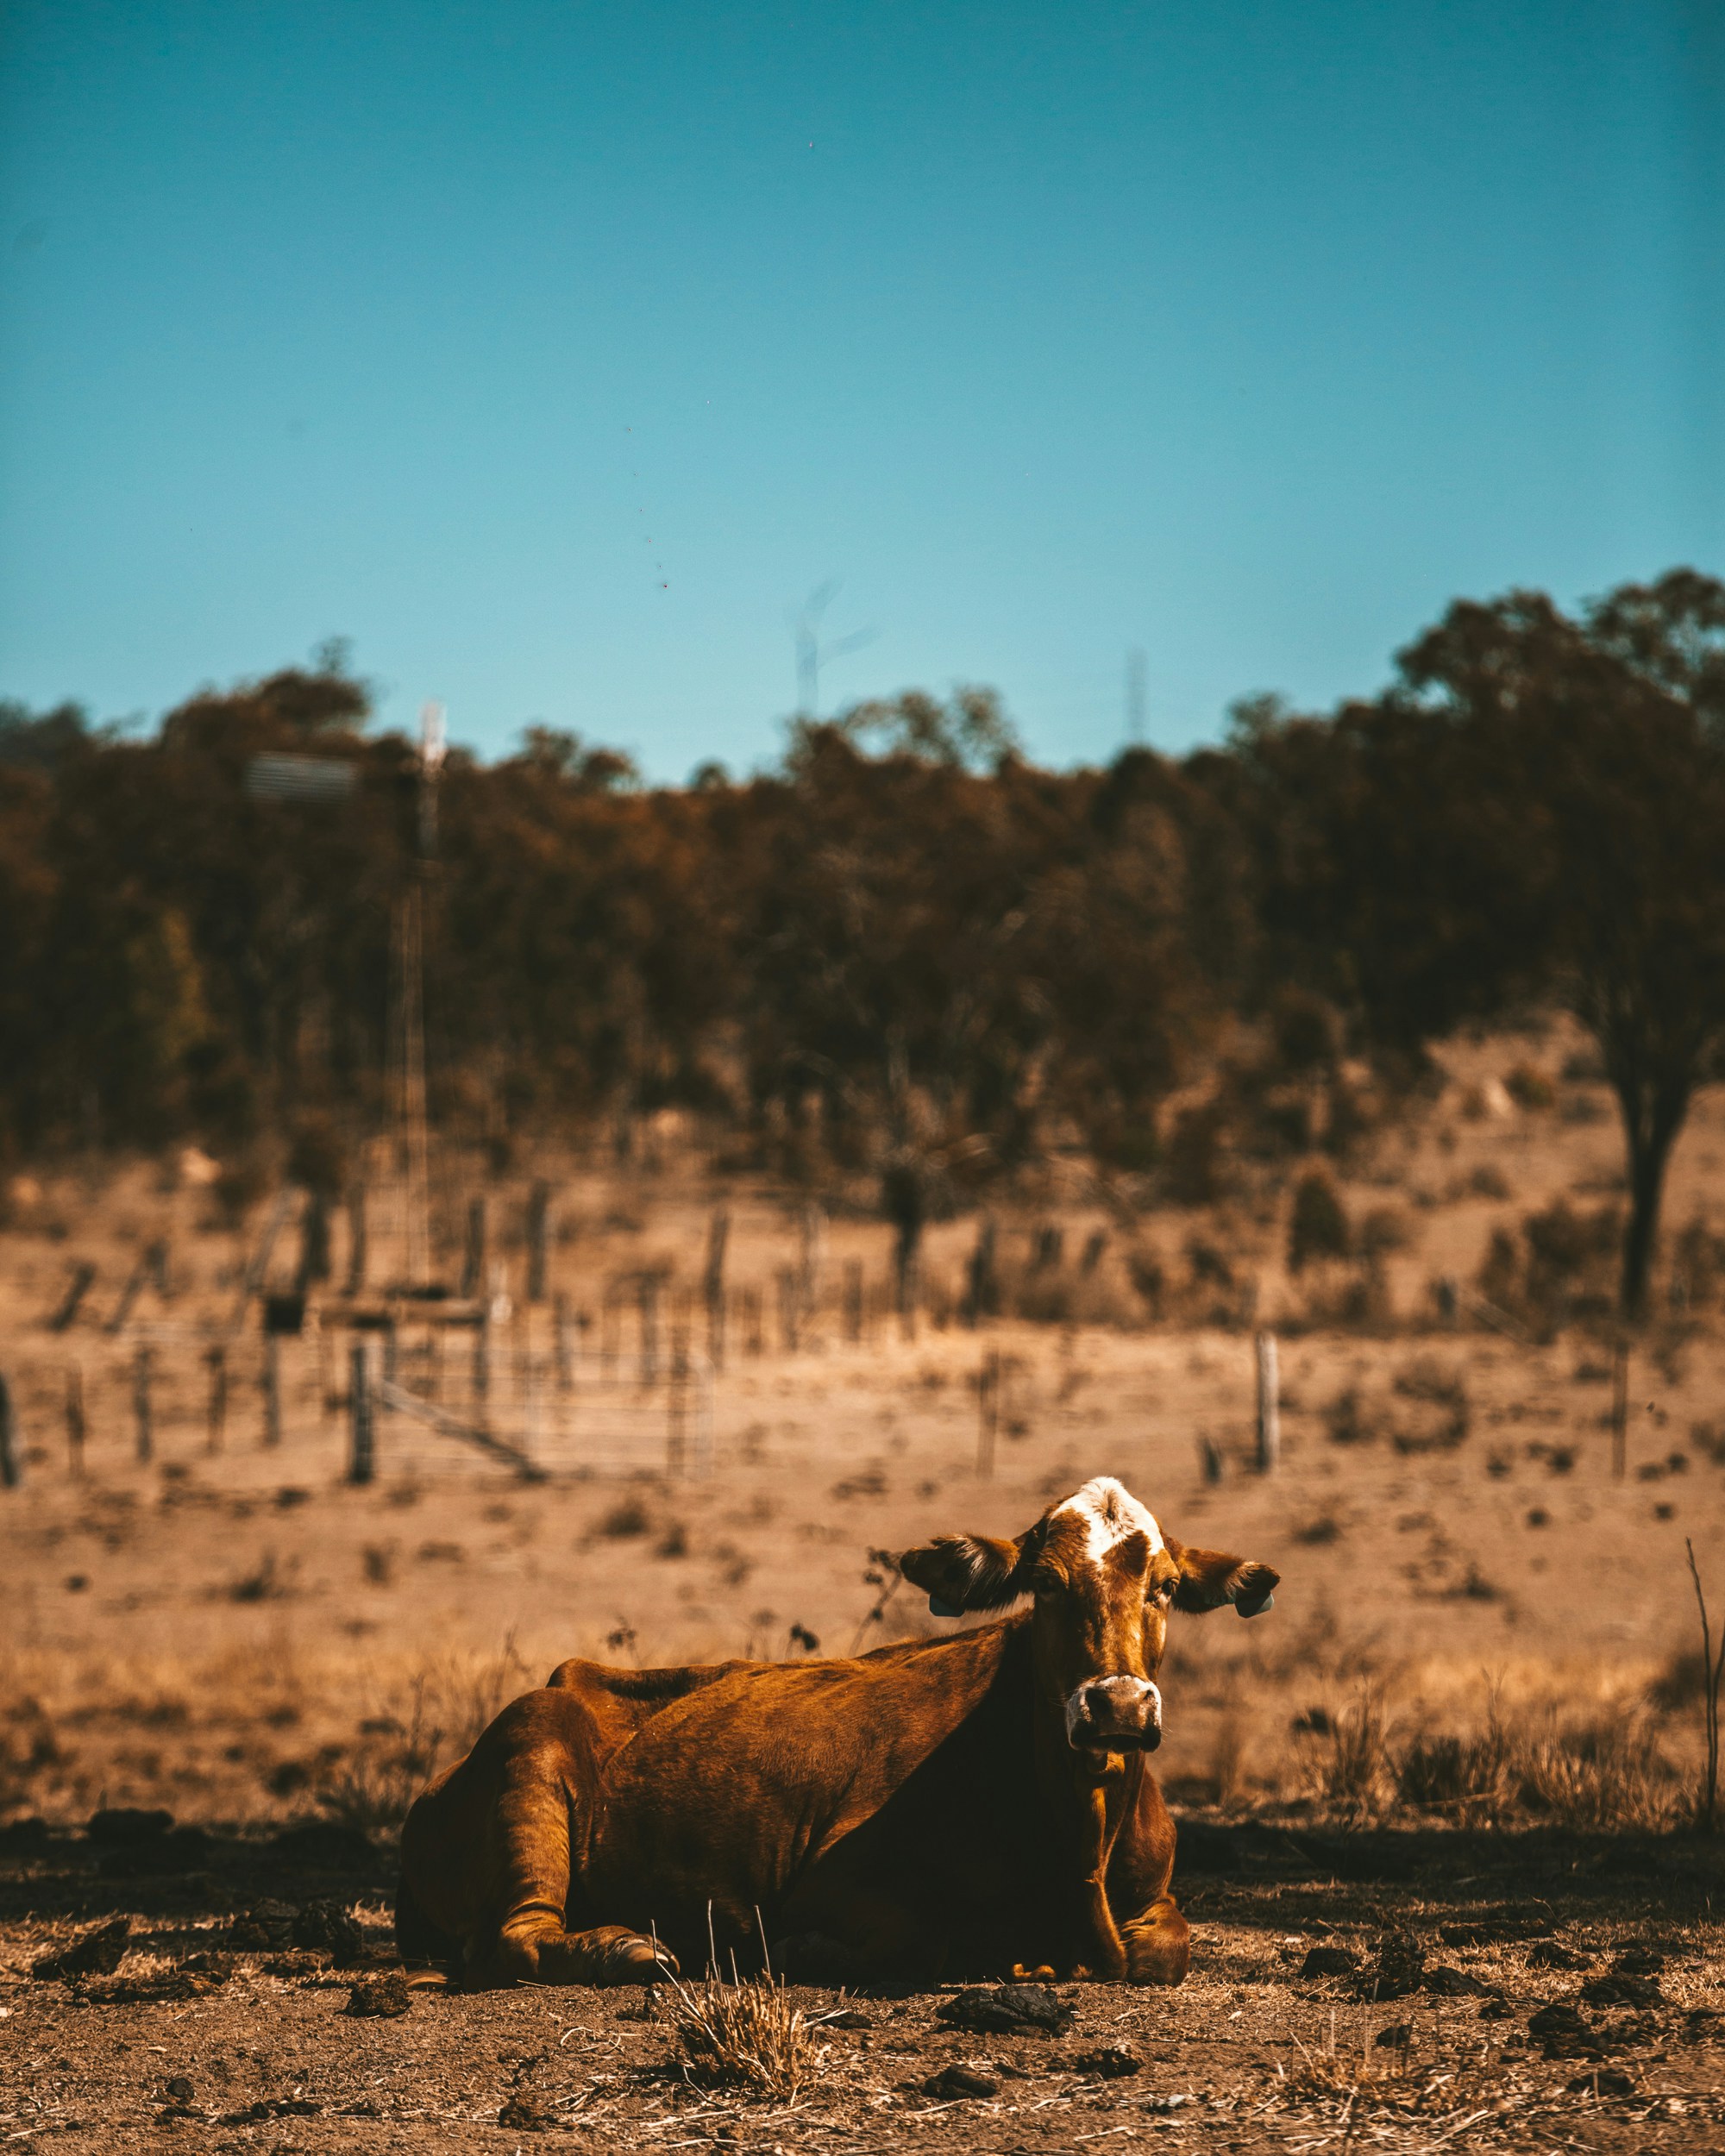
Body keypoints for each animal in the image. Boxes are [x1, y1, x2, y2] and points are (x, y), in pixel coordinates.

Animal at [396, 1475, 1278, 1990]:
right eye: (1047, 1584)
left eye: (1165, 1587)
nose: (1118, 1706)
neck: (1079, 1833)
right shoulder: (828, 1884)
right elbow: (920, 1941)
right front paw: (803, 1953)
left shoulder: (1156, 1899)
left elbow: (1167, 1950)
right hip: (531, 1752)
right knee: (516, 1938)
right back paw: (627, 1949)